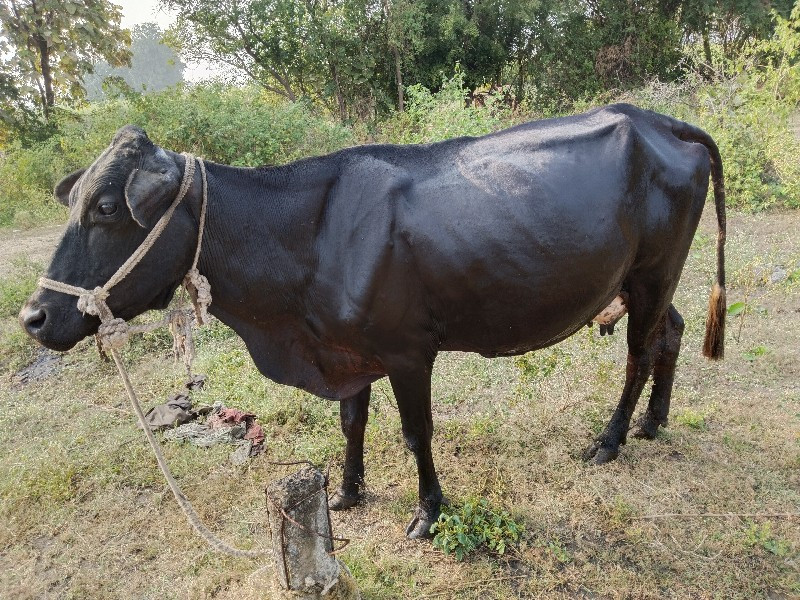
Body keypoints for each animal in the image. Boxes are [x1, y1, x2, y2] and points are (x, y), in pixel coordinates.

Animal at [23, 104, 724, 540]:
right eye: (74, 199)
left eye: (106, 207)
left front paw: (428, 513)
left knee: (638, 352)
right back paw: (653, 422)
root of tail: (658, 120)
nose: (33, 316)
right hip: (646, 280)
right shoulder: (346, 349)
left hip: (653, 272)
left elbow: (416, 434)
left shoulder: (408, 350)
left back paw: (612, 438)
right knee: (671, 332)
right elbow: (351, 422)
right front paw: (346, 492)